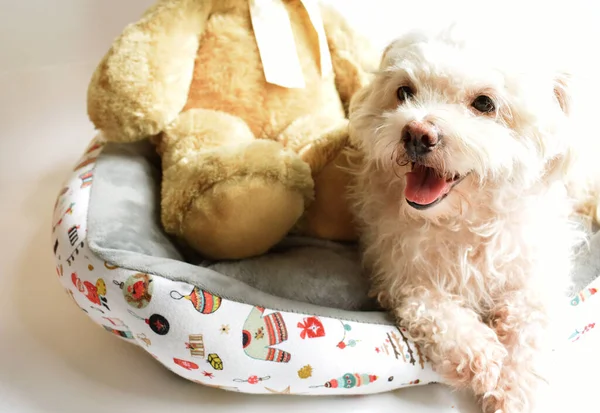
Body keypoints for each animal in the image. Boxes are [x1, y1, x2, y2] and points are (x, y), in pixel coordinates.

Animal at [346, 26, 600, 412]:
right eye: (404, 92)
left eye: (484, 104)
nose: (416, 133)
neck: (465, 223)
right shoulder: (405, 279)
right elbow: (438, 315)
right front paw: (485, 359)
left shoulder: (533, 275)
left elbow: (529, 326)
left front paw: (515, 388)